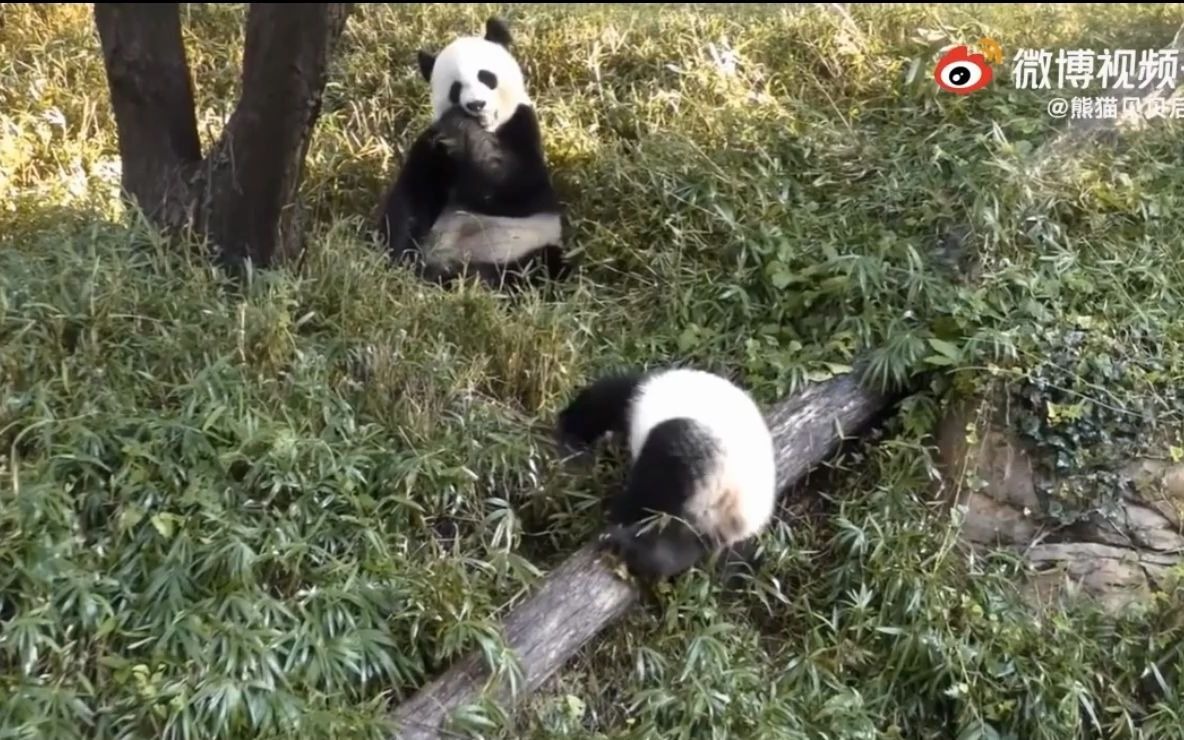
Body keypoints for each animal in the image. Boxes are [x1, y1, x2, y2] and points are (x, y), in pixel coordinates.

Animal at [374, 17, 568, 288]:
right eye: (456, 88)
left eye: (486, 77)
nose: (476, 105)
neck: (488, 129)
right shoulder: (434, 149)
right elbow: (413, 194)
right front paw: (397, 259)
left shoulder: (522, 128)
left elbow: (515, 186)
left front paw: (461, 126)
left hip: (527, 245)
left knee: (539, 268)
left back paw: (469, 278)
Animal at [554, 367, 776, 580]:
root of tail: (734, 507)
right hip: (709, 526)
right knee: (682, 546)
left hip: (694, 456)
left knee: (651, 489)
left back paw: (618, 529)